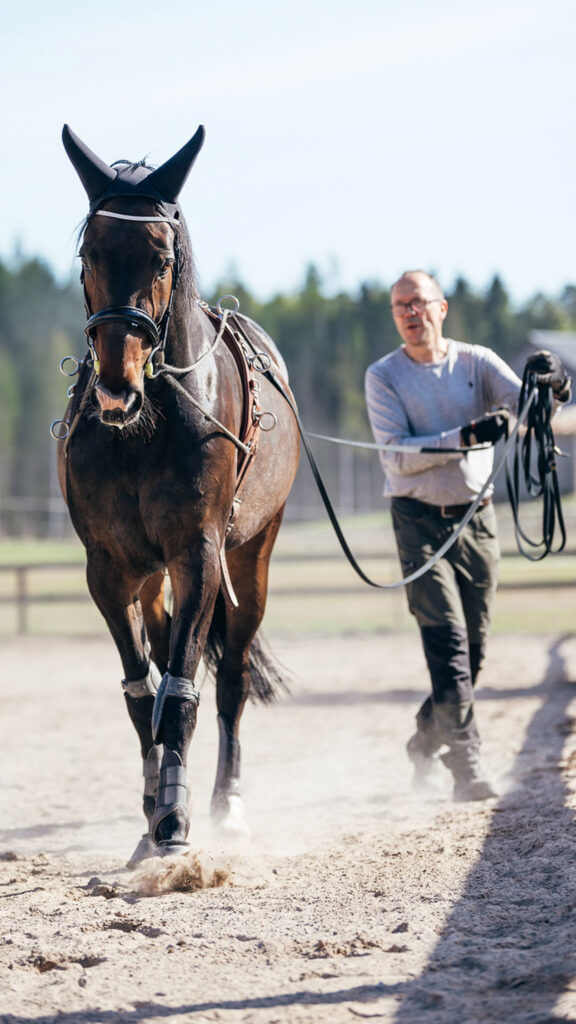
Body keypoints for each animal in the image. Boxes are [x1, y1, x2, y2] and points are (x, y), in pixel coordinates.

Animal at [57, 123, 301, 868]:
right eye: (90, 253)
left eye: (161, 256)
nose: (116, 386)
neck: (147, 427)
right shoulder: (109, 570)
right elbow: (144, 692)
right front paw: (149, 812)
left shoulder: (198, 554)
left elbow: (184, 690)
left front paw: (174, 819)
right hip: (150, 577)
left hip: (251, 555)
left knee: (231, 676)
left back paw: (227, 804)